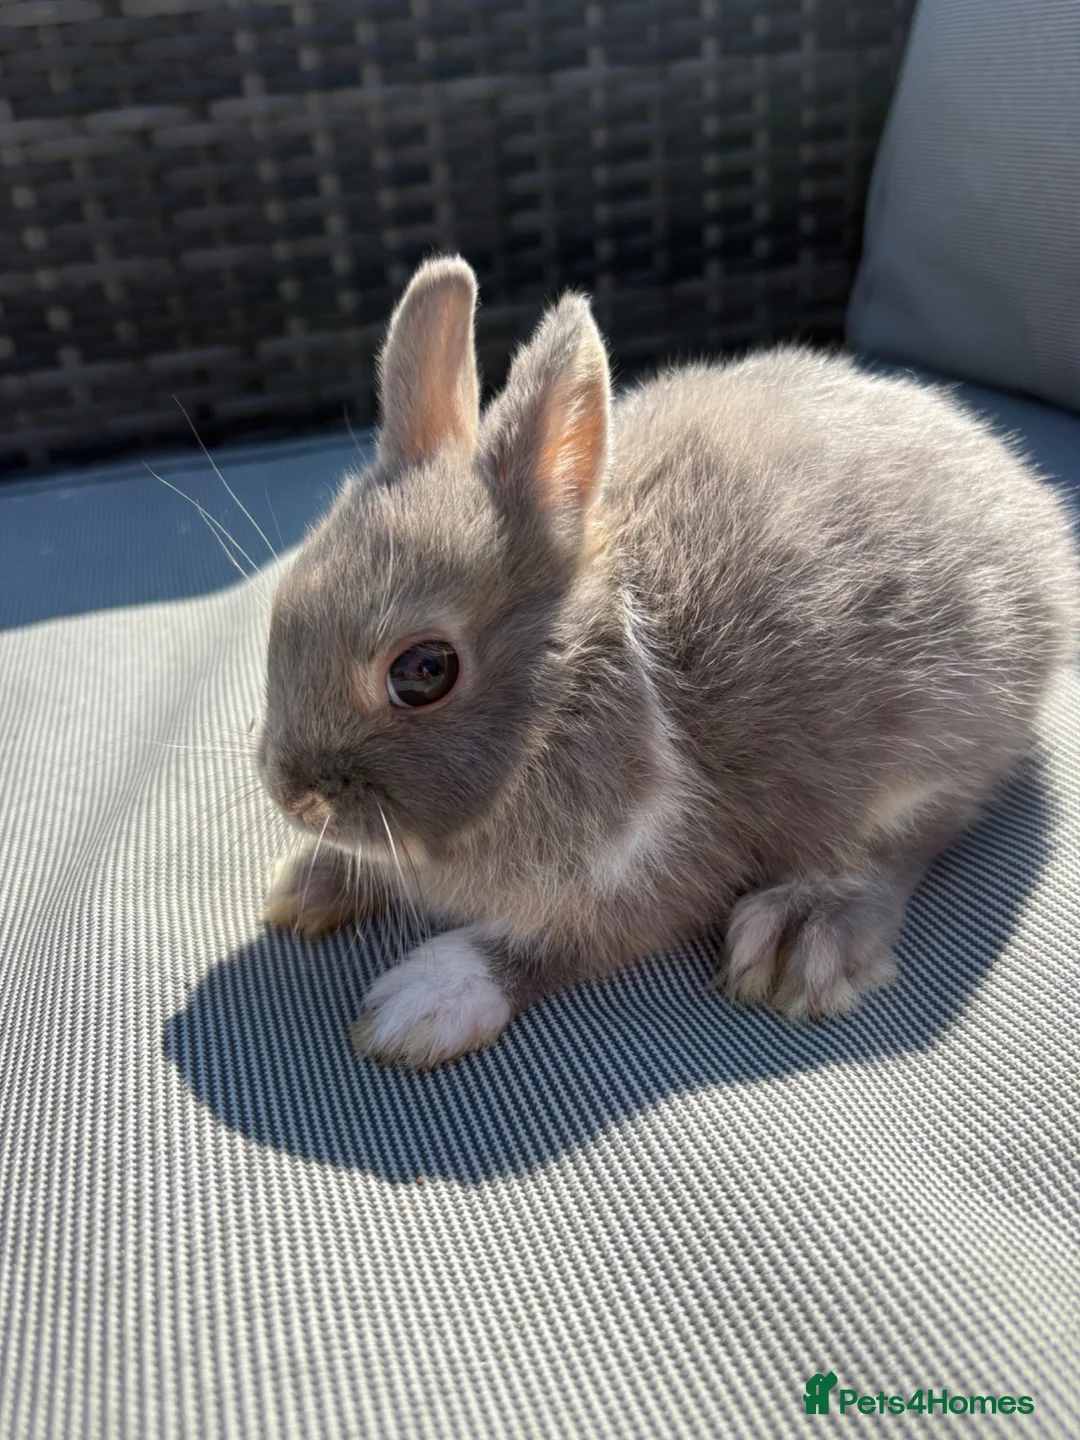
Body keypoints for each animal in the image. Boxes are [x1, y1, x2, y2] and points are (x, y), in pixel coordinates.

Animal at [257, 255, 1079, 1069]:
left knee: (903, 847)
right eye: (284, 605)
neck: (569, 690)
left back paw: (804, 932)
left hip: (928, 754)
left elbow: (552, 944)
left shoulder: (664, 864)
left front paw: (419, 1006)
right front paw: (306, 886)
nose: (293, 797)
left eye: (423, 671)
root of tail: (1034, 523)